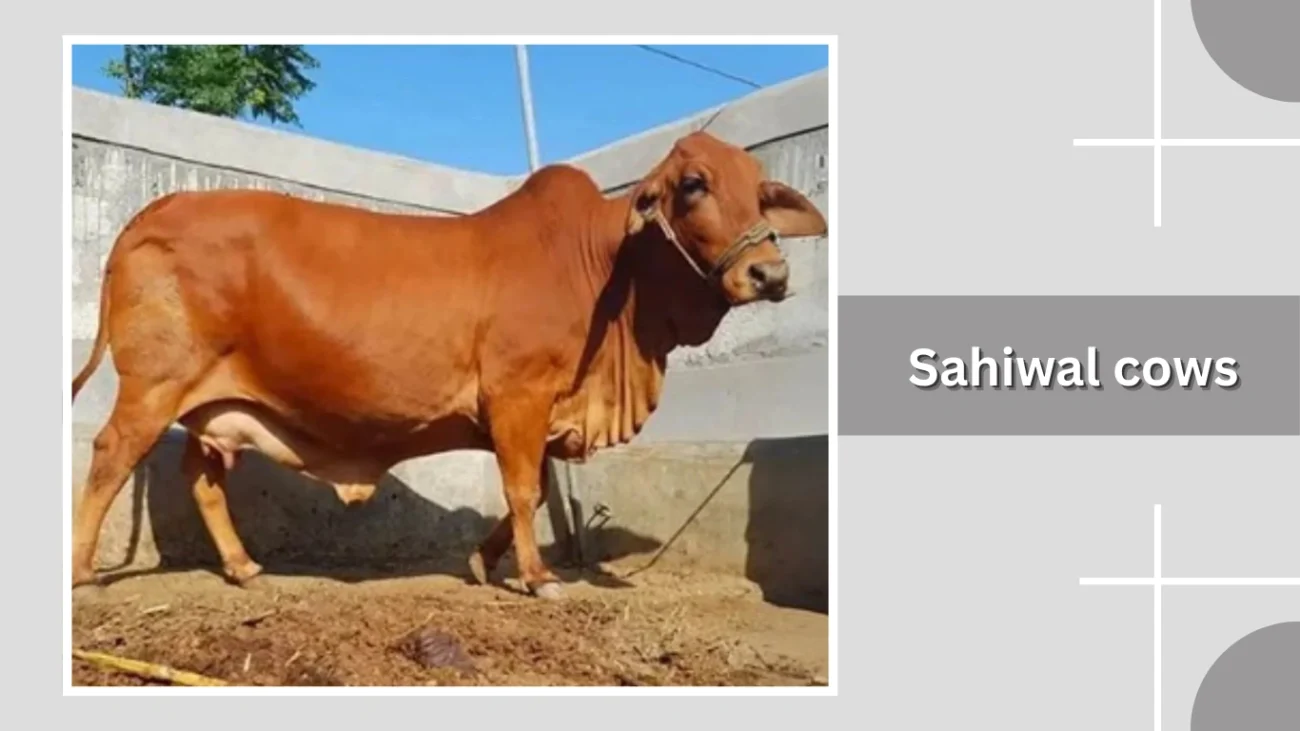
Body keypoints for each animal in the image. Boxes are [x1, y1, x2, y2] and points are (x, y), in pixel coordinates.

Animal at [69, 130, 828, 600]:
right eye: (695, 183)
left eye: (763, 190)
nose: (769, 273)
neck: (610, 275)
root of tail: (156, 209)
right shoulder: (520, 394)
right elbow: (522, 491)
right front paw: (537, 576)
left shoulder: (535, 410)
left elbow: (536, 491)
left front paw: (484, 561)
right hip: (154, 386)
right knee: (110, 456)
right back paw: (81, 571)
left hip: (211, 402)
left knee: (202, 477)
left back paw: (243, 565)